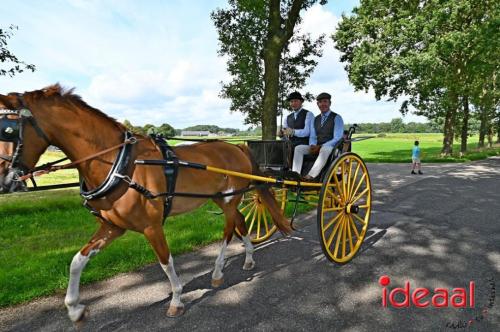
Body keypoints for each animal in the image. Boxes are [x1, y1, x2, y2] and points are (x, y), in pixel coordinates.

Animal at [0, 85, 292, 322]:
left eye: (8, 130)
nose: (4, 180)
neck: (121, 164)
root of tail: (237, 147)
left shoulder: (152, 226)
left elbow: (166, 261)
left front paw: (176, 299)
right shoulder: (112, 227)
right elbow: (77, 261)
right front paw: (74, 308)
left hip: (230, 199)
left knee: (229, 230)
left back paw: (219, 271)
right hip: (223, 199)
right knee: (241, 222)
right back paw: (249, 259)